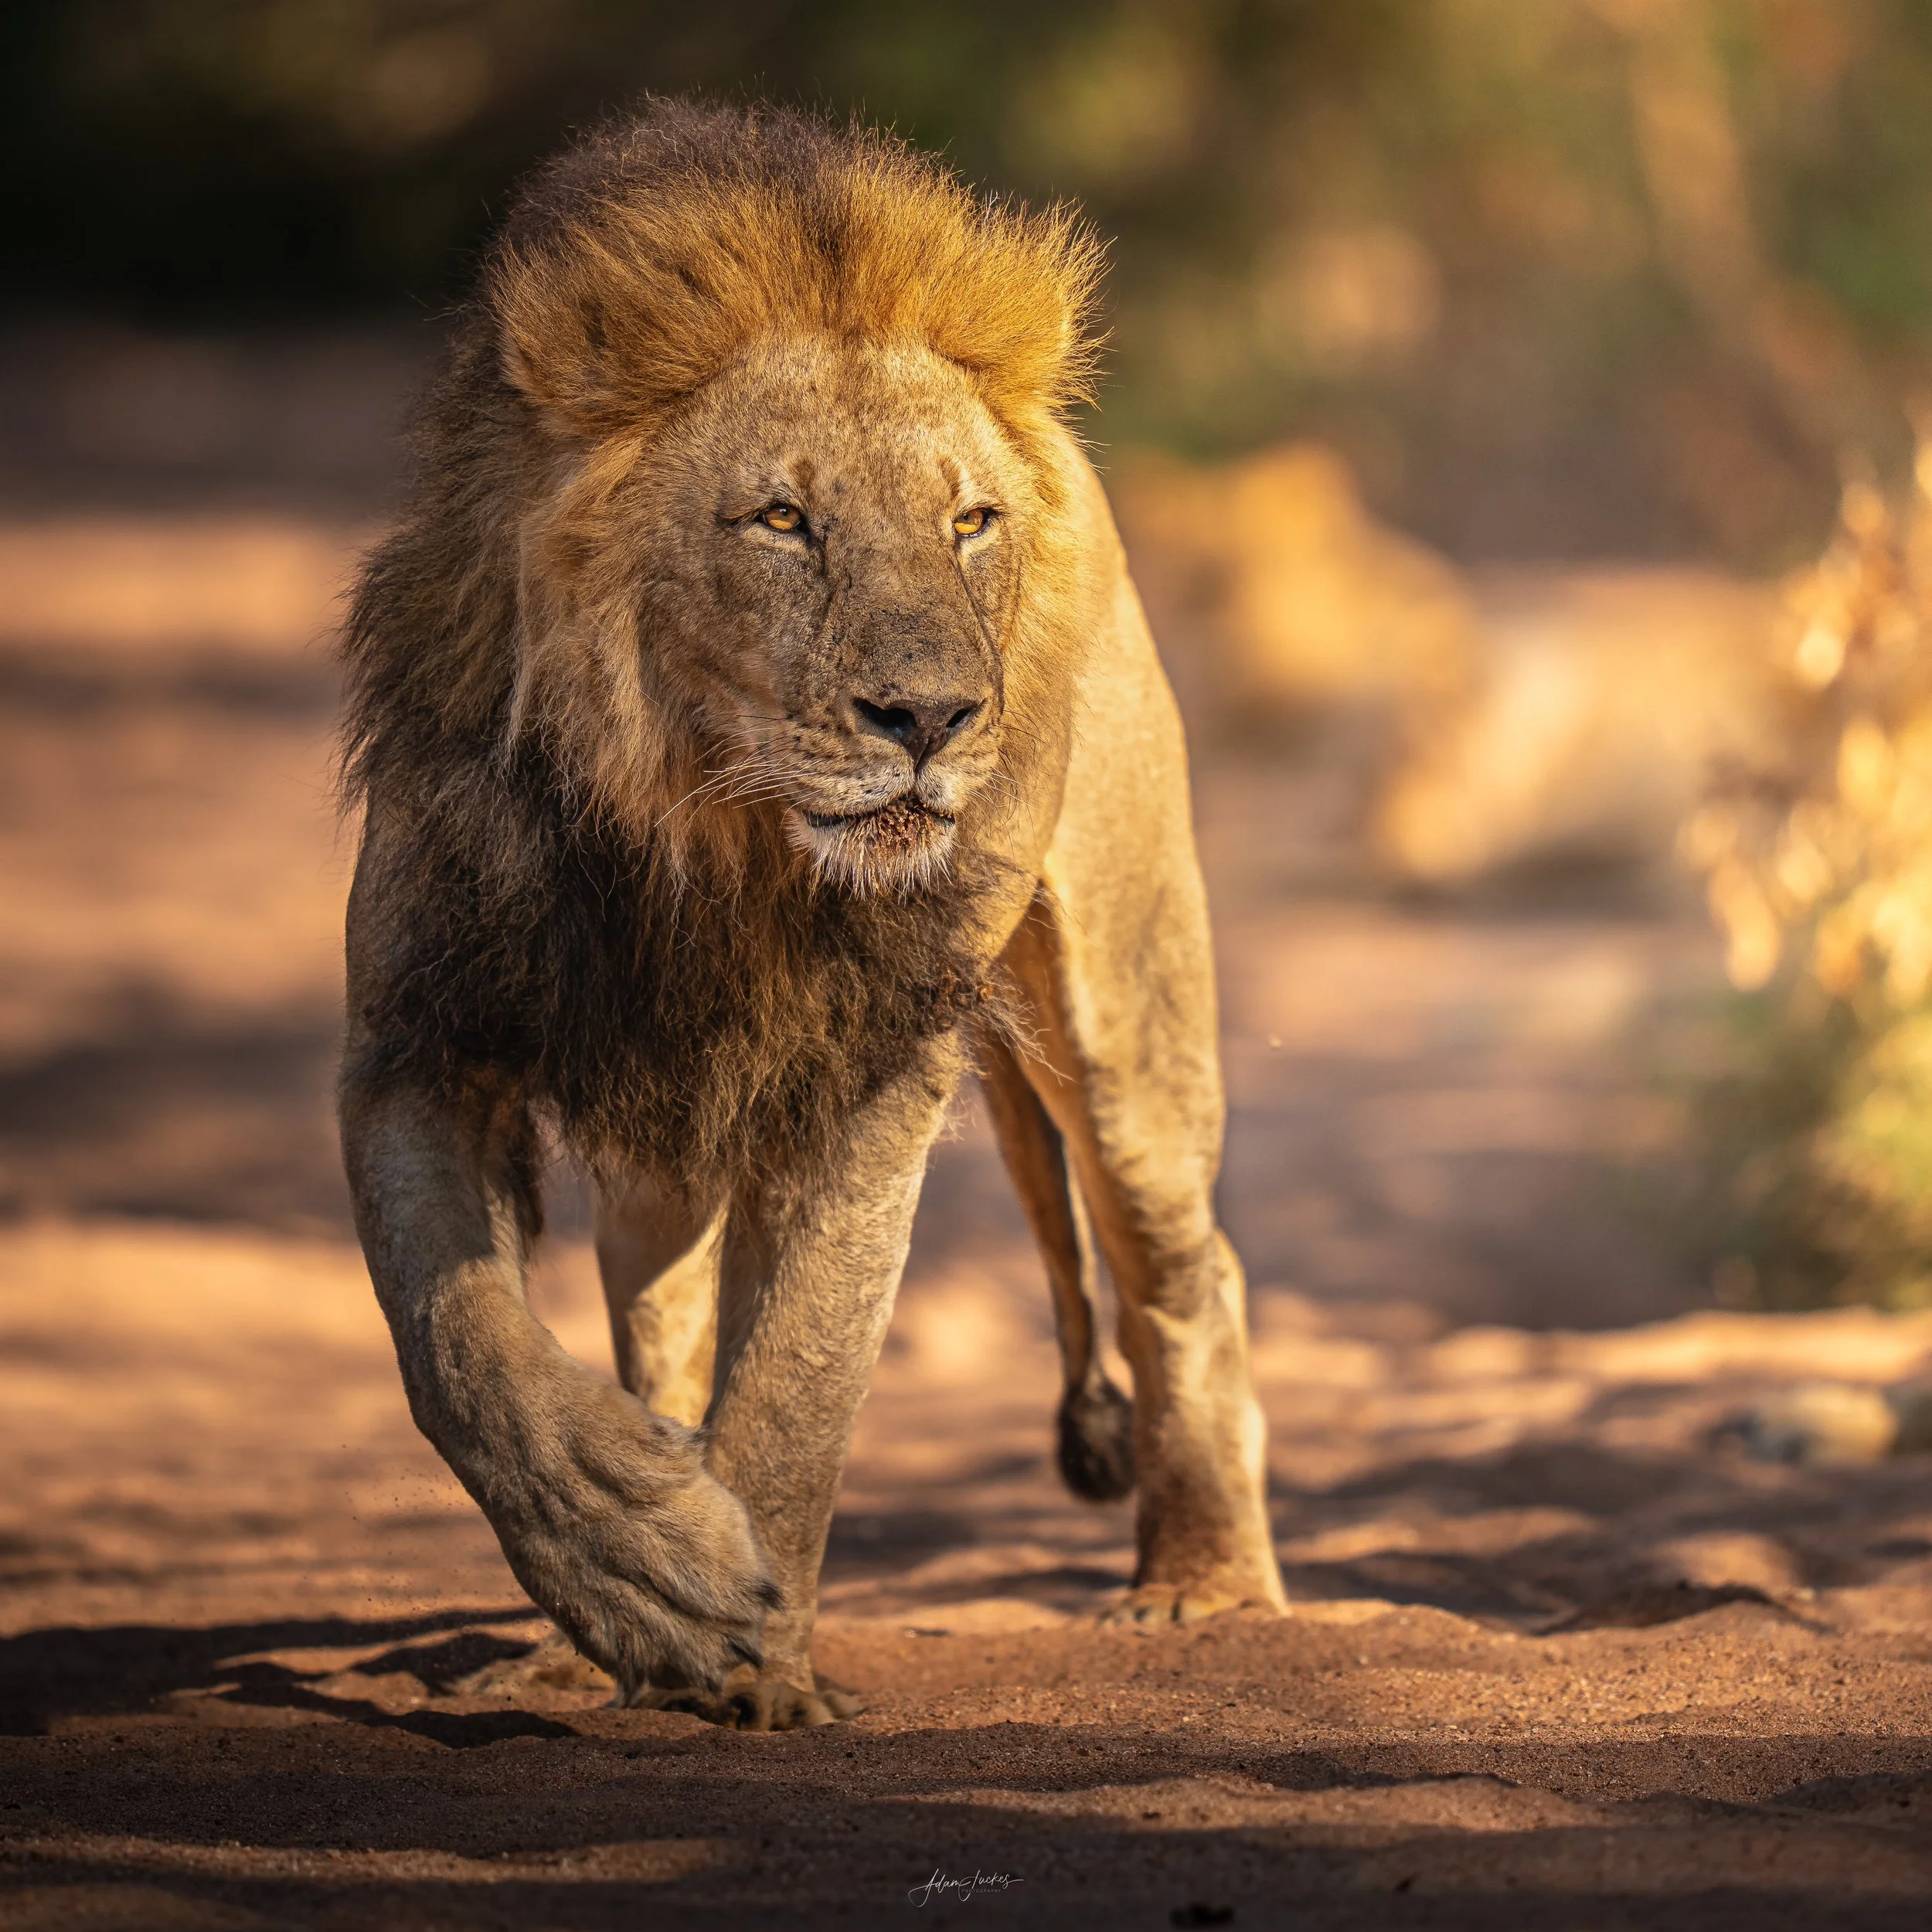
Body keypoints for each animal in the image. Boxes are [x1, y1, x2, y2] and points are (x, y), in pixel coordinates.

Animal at [337, 100, 1285, 1731]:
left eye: (968, 523)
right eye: (782, 520)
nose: (936, 716)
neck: (711, 840)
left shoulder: (868, 1071)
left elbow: (800, 1381)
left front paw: (760, 1661)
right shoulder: (415, 1037)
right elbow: (459, 1346)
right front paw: (643, 1572)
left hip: (1126, 1021)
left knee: (1184, 1271)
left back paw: (1207, 1588)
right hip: (655, 1147)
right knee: (655, 1321)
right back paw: (592, 1622)